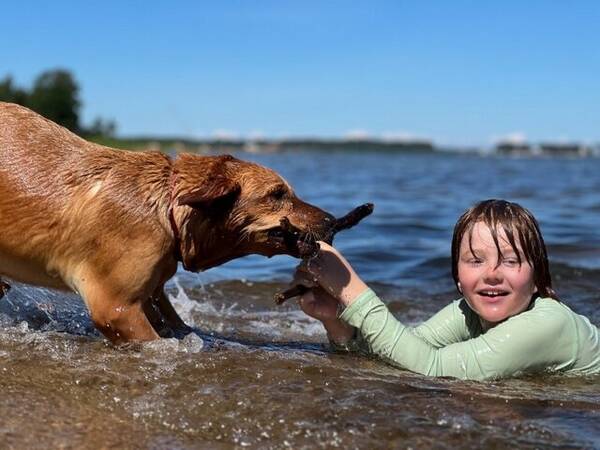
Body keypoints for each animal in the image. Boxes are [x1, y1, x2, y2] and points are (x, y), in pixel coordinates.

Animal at [0, 103, 332, 344]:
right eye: (277, 194)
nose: (330, 221)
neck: (166, 207)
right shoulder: (115, 309)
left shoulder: (152, 294)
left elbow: (179, 324)